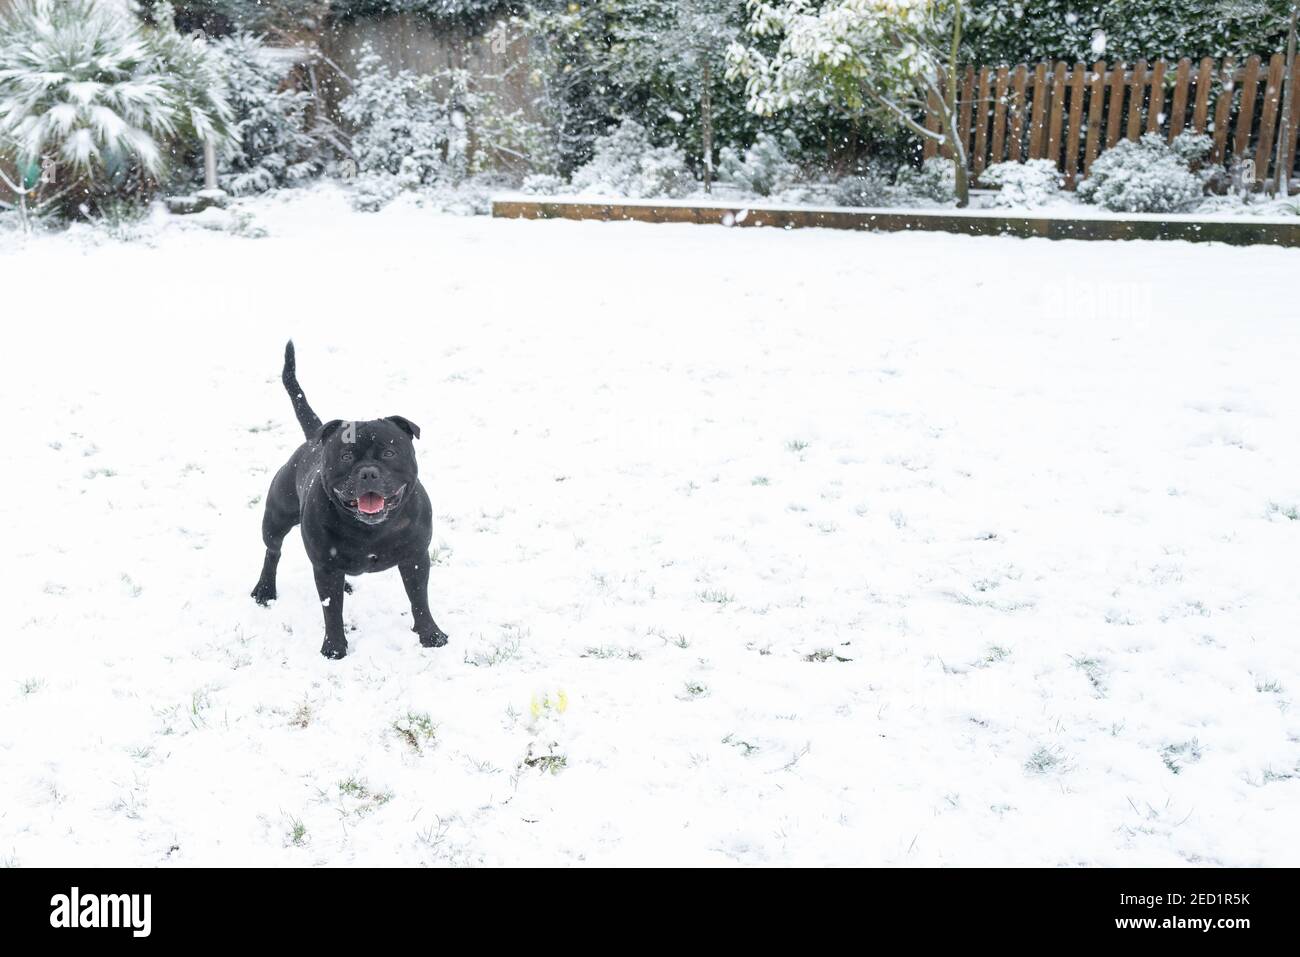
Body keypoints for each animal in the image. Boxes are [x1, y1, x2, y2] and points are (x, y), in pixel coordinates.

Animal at [250, 340, 449, 660]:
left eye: (389, 453)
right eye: (345, 456)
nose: (367, 472)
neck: (370, 529)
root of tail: (312, 438)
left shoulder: (416, 557)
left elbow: (419, 599)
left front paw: (431, 635)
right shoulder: (326, 567)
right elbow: (332, 612)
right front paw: (333, 649)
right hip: (276, 518)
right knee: (273, 551)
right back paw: (265, 589)